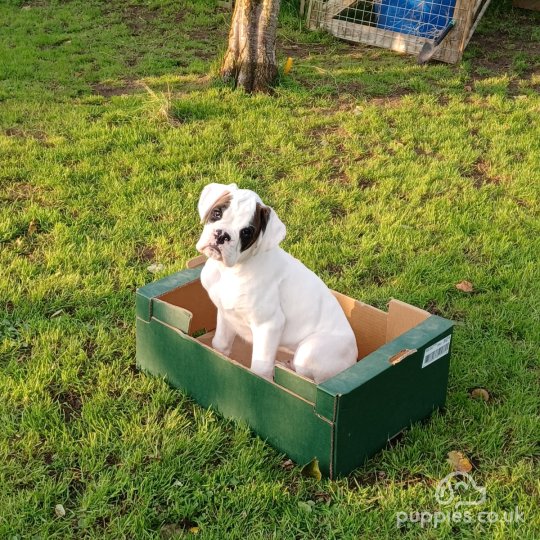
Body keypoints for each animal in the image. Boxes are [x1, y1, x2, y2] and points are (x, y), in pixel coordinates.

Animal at [195, 184, 358, 382]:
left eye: (246, 232)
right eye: (217, 213)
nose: (222, 235)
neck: (229, 271)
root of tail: (355, 359)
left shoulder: (269, 325)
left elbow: (260, 368)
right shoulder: (226, 314)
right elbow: (220, 344)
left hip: (309, 351)